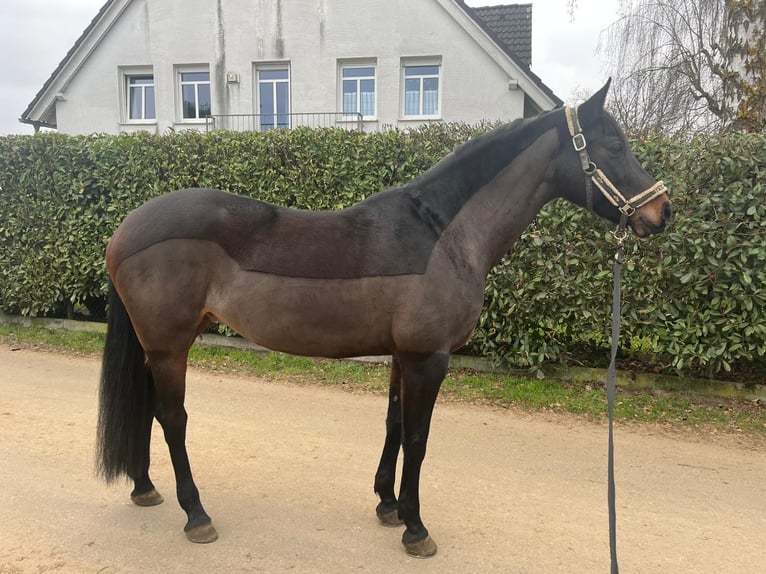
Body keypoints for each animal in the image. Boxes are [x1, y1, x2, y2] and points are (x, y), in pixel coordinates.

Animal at [97, 80, 671, 558]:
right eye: (614, 147)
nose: (661, 211)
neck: (442, 234)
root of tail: (126, 230)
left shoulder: (402, 356)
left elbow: (394, 425)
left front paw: (387, 505)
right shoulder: (427, 360)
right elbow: (418, 438)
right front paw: (416, 528)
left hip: (160, 347)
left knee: (148, 410)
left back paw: (145, 489)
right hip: (169, 347)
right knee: (173, 418)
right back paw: (196, 515)